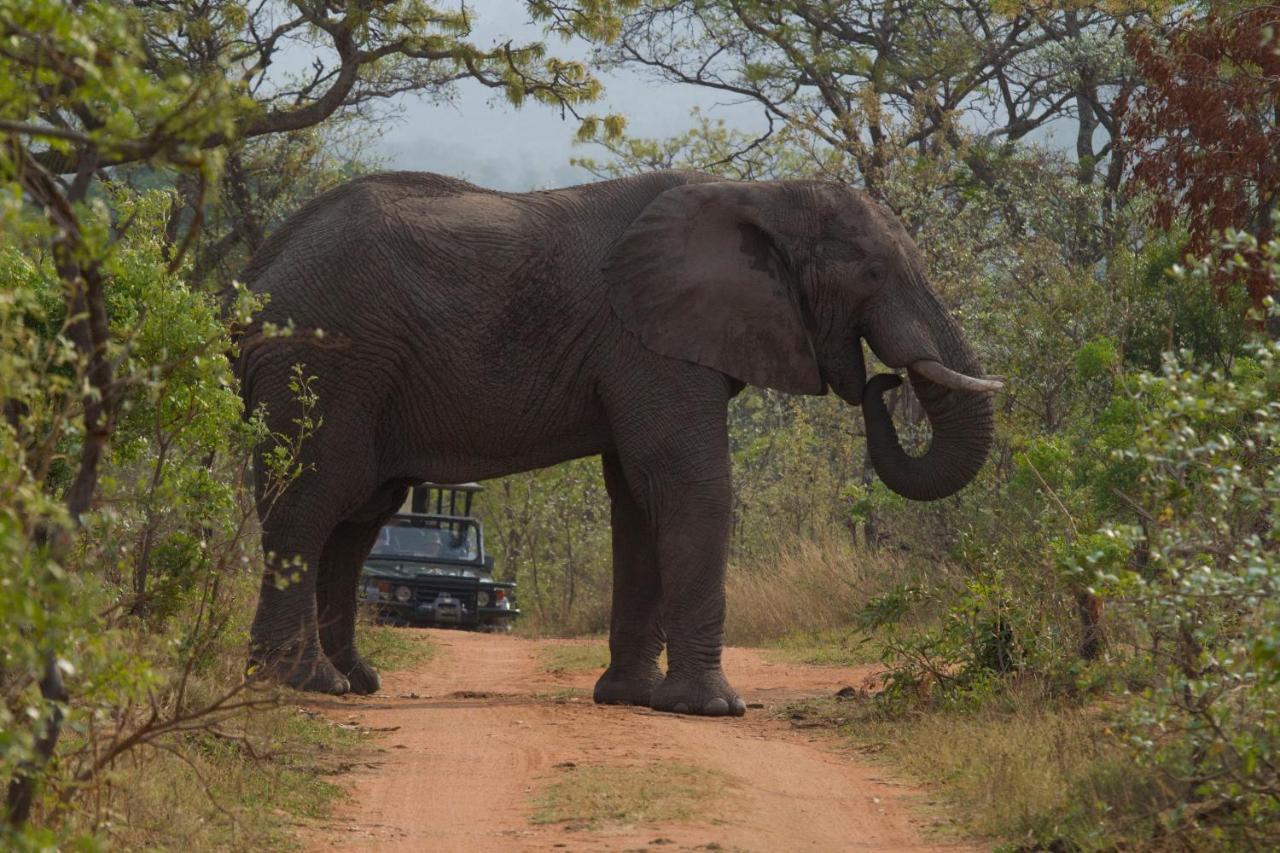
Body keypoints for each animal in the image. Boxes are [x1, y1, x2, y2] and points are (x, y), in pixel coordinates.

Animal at [238, 169, 998, 712]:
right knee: (313, 504)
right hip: (323, 361)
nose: (882, 381)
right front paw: (710, 709)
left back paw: (351, 681)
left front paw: (629, 698)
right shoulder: (649, 340)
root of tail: (253, 275)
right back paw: (304, 684)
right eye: (871, 273)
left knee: (357, 520)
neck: (763, 192)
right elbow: (687, 480)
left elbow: (638, 498)